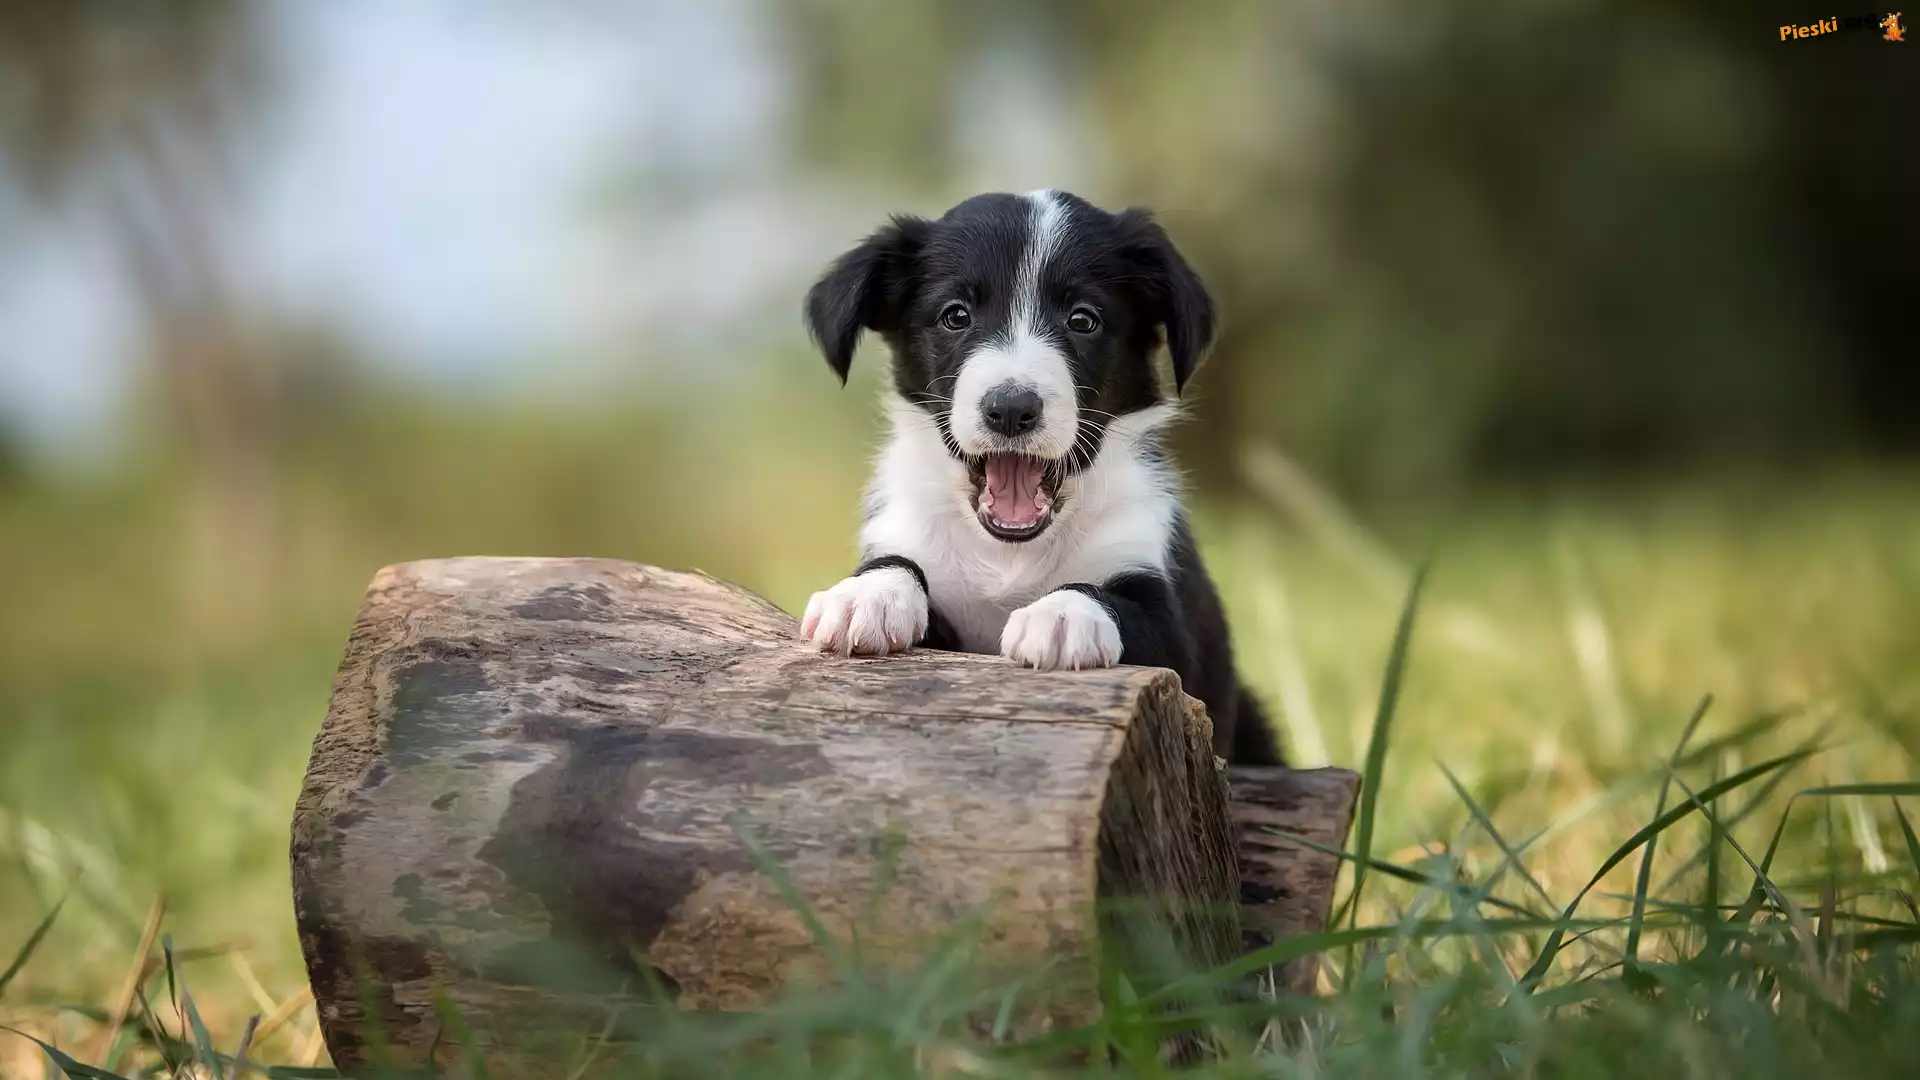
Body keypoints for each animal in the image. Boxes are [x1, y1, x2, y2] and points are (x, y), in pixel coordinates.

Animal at [798, 191, 1290, 764]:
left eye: (1083, 320)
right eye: (955, 316)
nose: (1011, 409)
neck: (1010, 554)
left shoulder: (1178, 641)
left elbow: (1113, 599)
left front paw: (1061, 614)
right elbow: (898, 564)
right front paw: (867, 596)